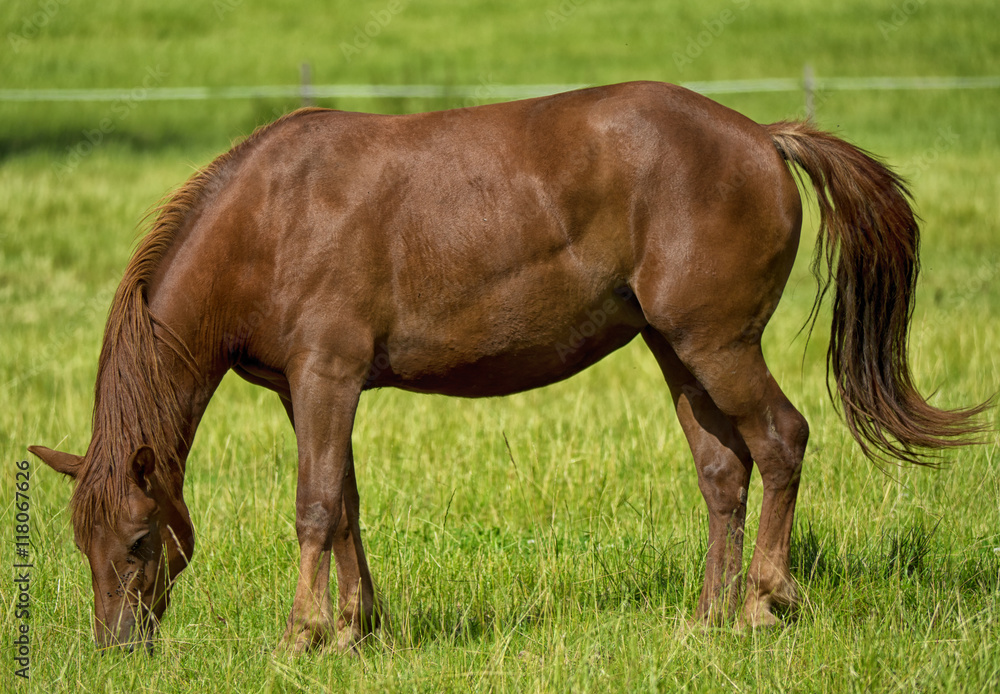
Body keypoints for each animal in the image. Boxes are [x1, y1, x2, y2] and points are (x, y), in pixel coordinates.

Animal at [30, 81, 987, 653]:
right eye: (81, 540)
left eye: (140, 540)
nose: (118, 648)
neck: (271, 218)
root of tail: (763, 136)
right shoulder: (309, 393)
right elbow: (347, 508)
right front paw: (357, 629)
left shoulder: (327, 377)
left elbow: (315, 506)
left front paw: (303, 636)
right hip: (679, 350)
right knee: (724, 471)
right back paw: (707, 617)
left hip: (720, 345)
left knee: (782, 441)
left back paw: (762, 601)